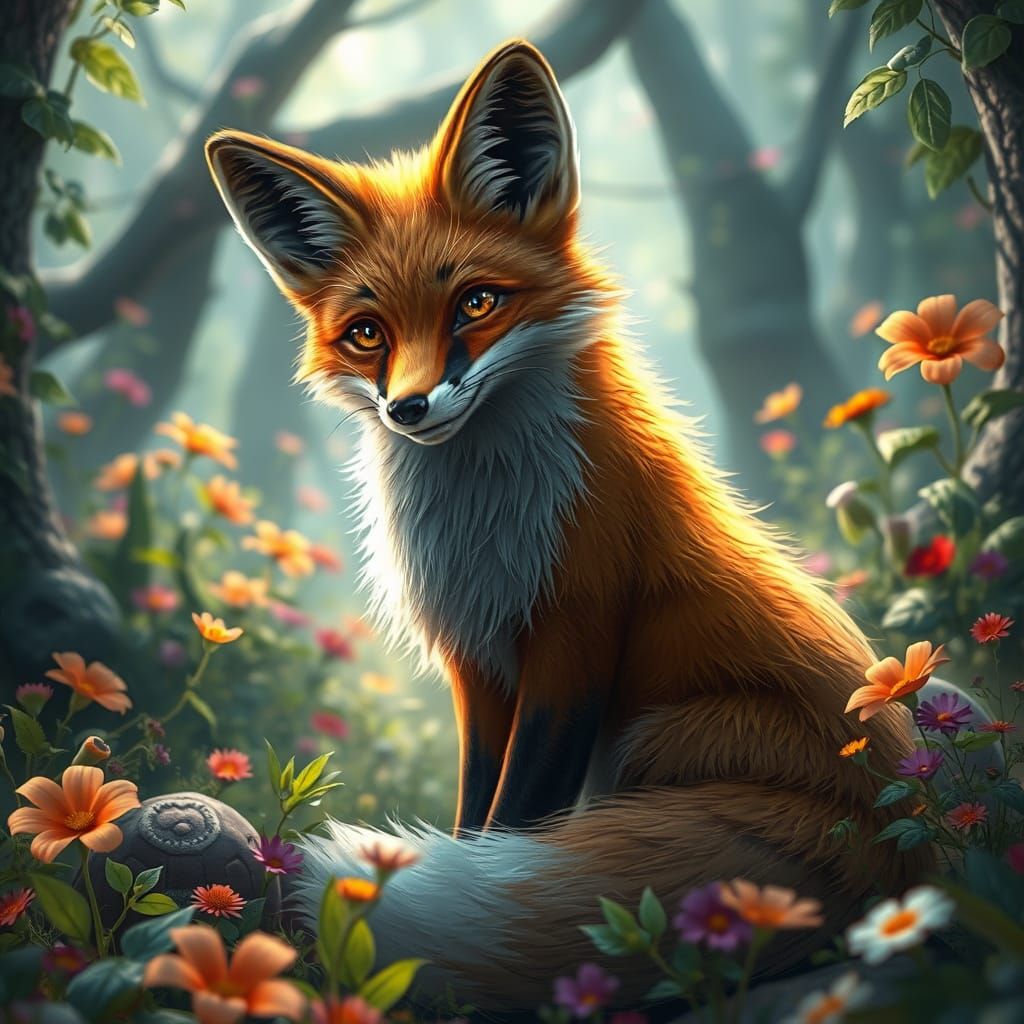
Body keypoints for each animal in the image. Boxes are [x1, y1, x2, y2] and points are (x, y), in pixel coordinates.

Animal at [205, 41, 933, 1010]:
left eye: (476, 305)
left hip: (655, 735)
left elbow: (520, 810)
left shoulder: (575, 638)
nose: (408, 408)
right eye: (366, 333)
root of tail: (909, 829)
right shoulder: (477, 661)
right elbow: (478, 811)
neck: (485, 527)